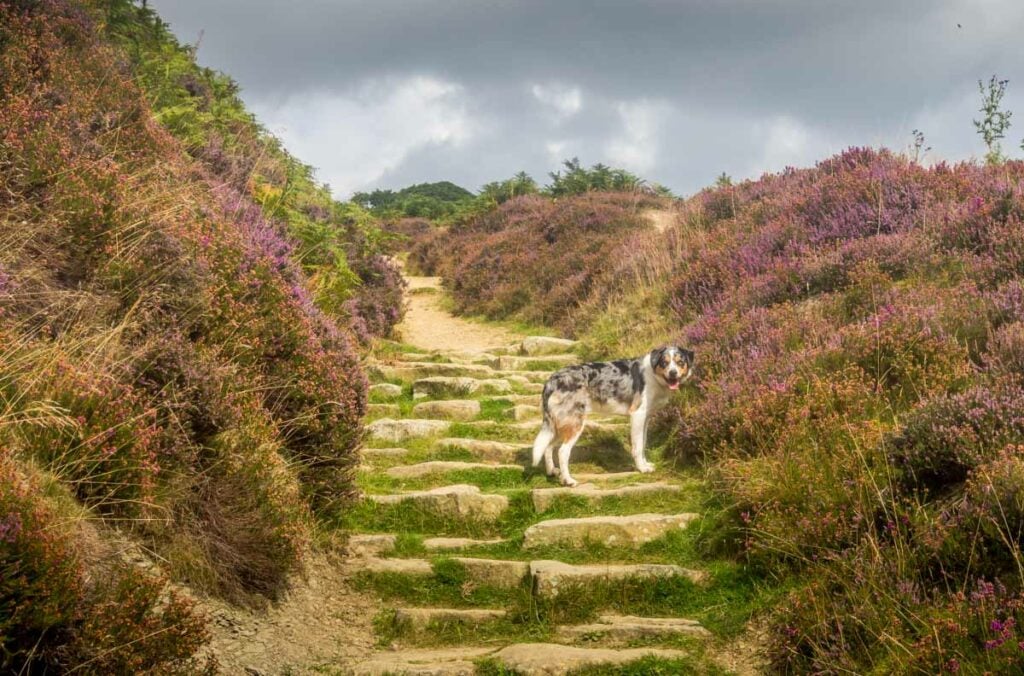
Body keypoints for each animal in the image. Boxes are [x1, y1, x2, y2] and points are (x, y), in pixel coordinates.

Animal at [532, 348, 692, 485]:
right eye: (664, 362)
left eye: (680, 362)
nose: (673, 373)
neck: (653, 375)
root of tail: (552, 380)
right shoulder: (637, 416)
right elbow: (637, 447)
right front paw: (642, 468)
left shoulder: (645, 419)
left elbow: (643, 443)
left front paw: (645, 464)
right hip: (575, 424)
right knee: (562, 452)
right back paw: (568, 480)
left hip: (558, 425)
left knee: (548, 447)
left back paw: (552, 472)